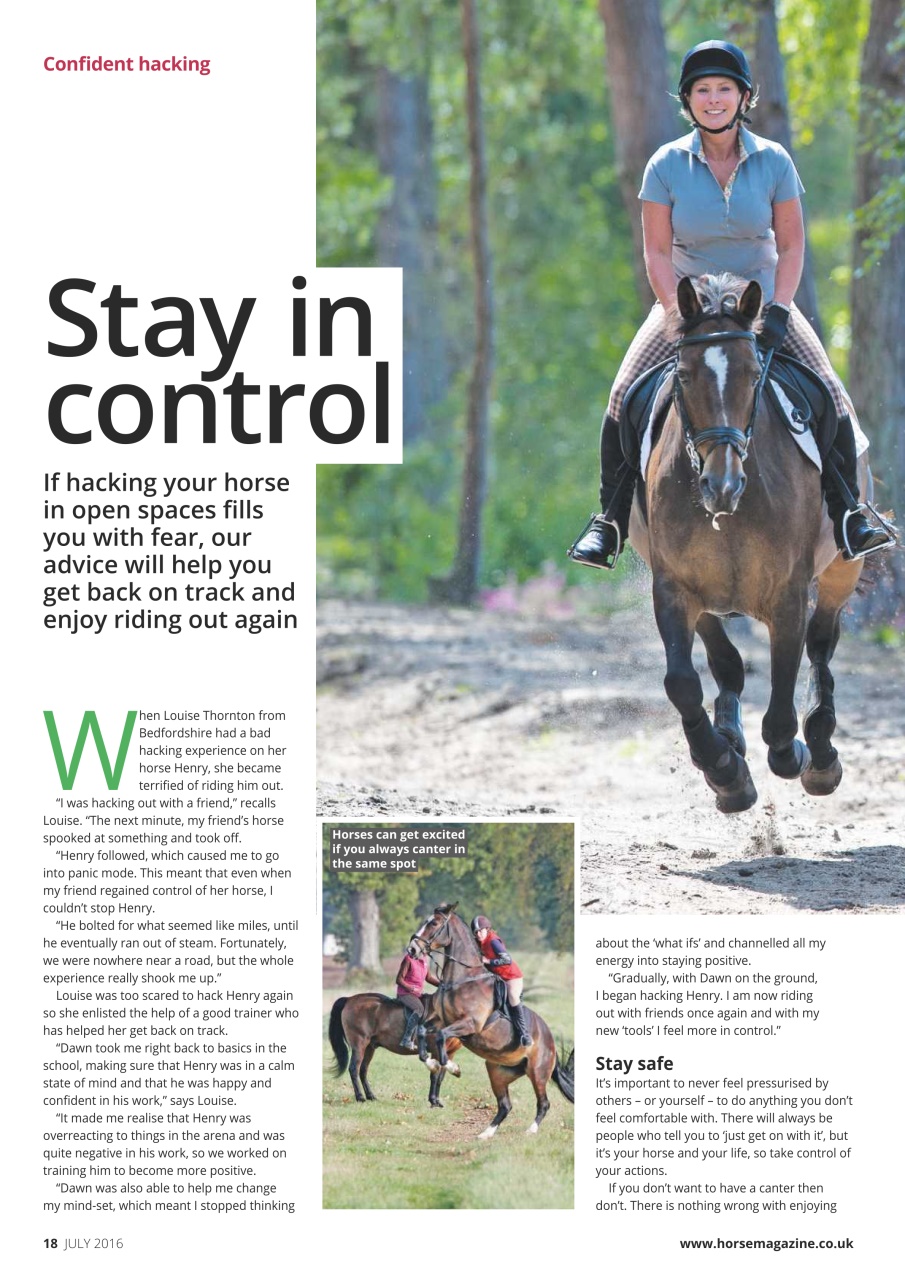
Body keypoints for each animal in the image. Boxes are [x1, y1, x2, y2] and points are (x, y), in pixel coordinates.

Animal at [328, 990, 462, 1107]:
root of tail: (349, 999)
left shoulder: (450, 1053)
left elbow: (440, 1078)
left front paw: (437, 1101)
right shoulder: (435, 1050)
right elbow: (434, 1076)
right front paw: (433, 1101)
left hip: (369, 1047)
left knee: (363, 1070)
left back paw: (371, 1096)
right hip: (359, 1045)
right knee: (354, 1069)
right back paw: (360, 1097)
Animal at [411, 904, 574, 1139]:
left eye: (433, 923)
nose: (412, 949)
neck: (462, 979)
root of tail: (550, 1037)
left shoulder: (470, 1024)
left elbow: (441, 1039)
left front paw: (452, 1067)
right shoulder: (441, 1020)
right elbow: (423, 1031)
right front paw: (432, 1062)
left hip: (537, 1071)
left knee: (543, 1103)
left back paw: (530, 1131)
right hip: (498, 1071)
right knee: (505, 1105)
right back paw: (485, 1134)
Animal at [629, 273, 872, 812]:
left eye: (752, 372)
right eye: (685, 375)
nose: (721, 485)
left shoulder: (787, 595)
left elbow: (781, 703)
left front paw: (794, 755)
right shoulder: (674, 587)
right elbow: (683, 682)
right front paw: (724, 769)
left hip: (842, 566)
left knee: (822, 642)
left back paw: (820, 752)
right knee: (729, 665)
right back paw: (728, 738)